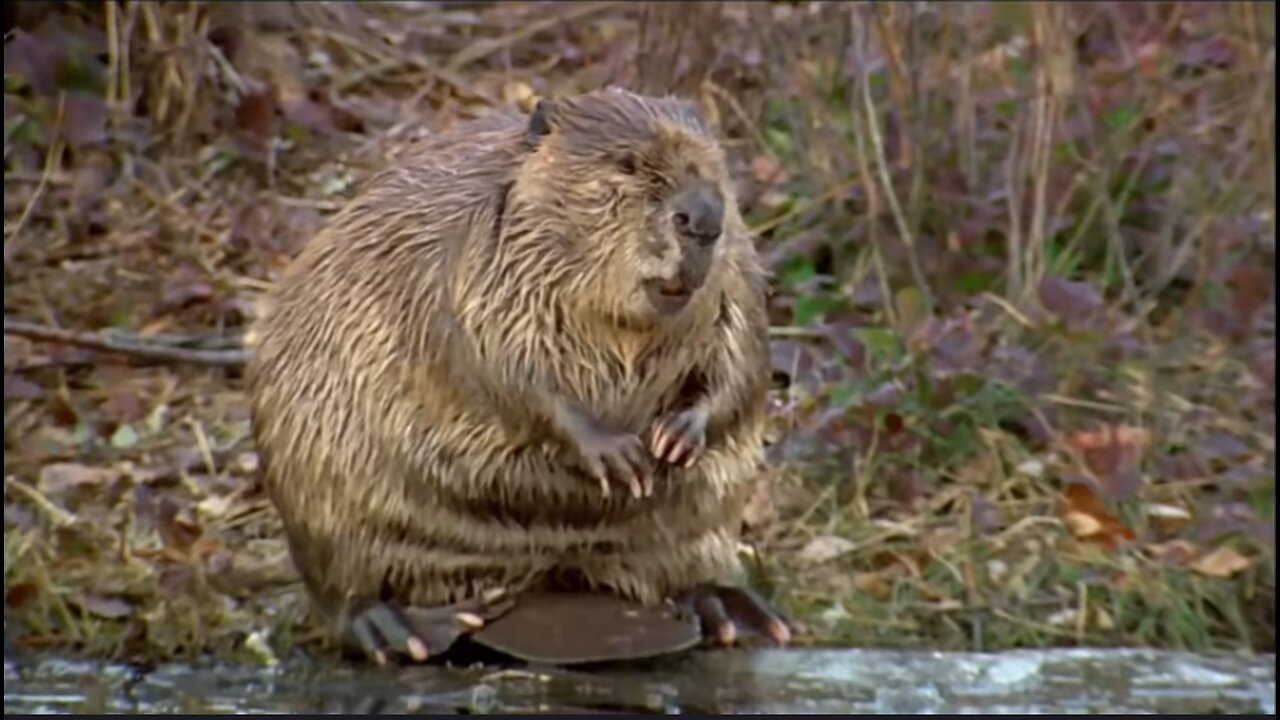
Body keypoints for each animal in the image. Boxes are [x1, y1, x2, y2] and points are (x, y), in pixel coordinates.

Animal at [245, 88, 793, 661]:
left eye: (716, 165)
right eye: (626, 164)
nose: (704, 219)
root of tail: (545, 587)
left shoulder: (738, 273)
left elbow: (741, 357)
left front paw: (677, 437)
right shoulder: (466, 262)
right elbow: (499, 365)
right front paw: (617, 455)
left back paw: (730, 609)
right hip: (323, 501)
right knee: (342, 596)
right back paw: (408, 626)